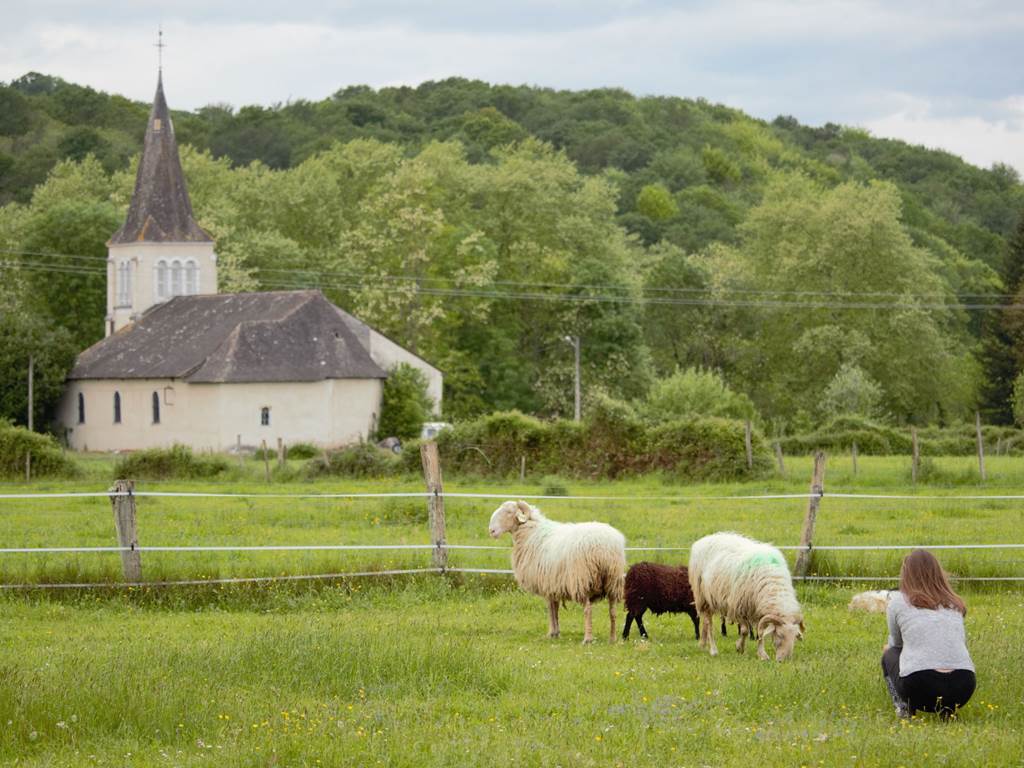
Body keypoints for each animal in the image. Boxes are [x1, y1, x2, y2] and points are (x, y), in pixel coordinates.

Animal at [485, 501, 622, 647]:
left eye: (509, 512)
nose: (491, 531)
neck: (531, 532)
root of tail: (604, 547)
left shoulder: (547, 583)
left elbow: (550, 609)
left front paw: (551, 633)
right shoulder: (553, 584)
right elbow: (555, 608)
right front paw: (556, 632)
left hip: (582, 579)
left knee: (588, 610)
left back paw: (587, 639)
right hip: (613, 581)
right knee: (613, 611)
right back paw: (612, 638)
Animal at [692, 532, 802, 663]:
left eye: (794, 637)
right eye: (780, 635)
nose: (784, 660)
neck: (773, 584)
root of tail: (706, 538)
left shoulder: (759, 610)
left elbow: (760, 632)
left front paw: (761, 654)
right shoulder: (740, 607)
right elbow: (744, 631)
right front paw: (740, 648)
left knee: (705, 621)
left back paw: (702, 644)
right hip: (703, 596)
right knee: (709, 623)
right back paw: (713, 650)